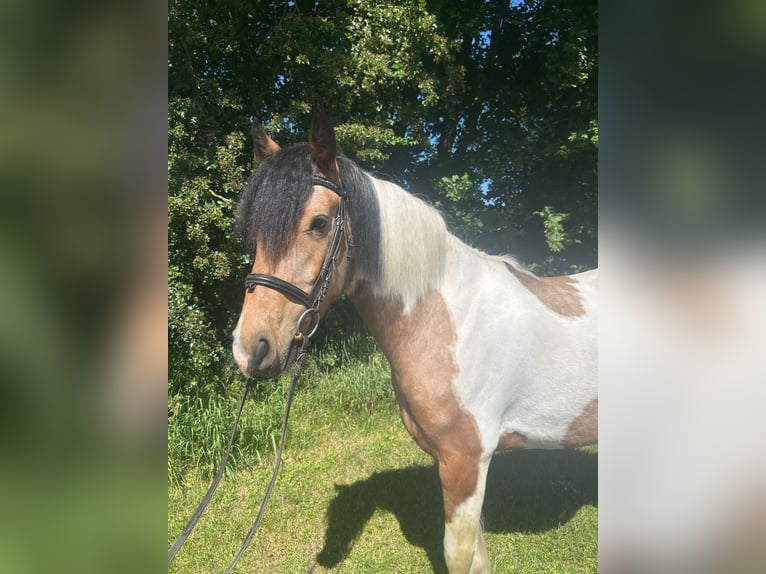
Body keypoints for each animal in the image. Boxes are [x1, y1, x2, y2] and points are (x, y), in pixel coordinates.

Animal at [232, 109, 597, 574]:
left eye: (318, 223)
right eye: (256, 230)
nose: (249, 349)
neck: (447, 321)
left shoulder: (466, 462)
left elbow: (456, 555)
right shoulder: (458, 467)